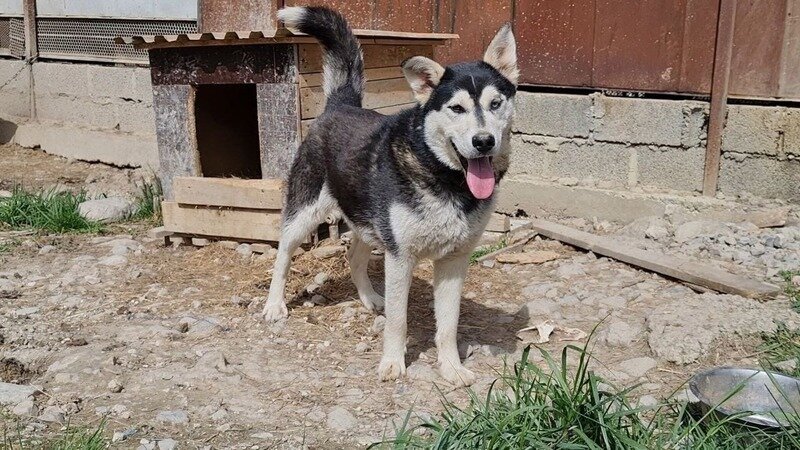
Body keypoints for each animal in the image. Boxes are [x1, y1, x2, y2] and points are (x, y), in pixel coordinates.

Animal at [263, 6, 518, 387]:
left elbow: (448, 325)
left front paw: (451, 367)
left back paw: (369, 298)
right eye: (456, 109)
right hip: (304, 213)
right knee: (283, 254)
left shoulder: (454, 262)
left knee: (354, 256)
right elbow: (399, 320)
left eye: (496, 103)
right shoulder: (400, 257)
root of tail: (340, 105)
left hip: (369, 222)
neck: (445, 179)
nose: (484, 141)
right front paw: (393, 362)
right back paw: (274, 305)